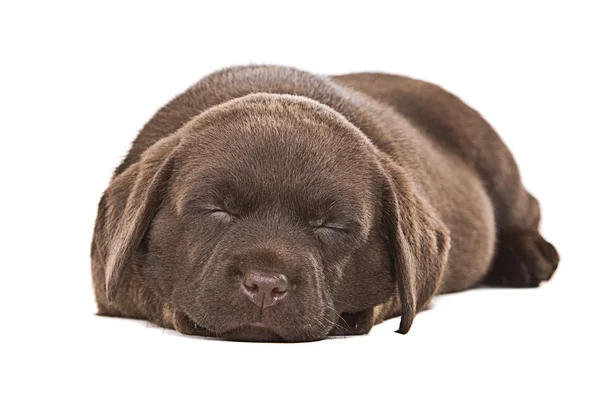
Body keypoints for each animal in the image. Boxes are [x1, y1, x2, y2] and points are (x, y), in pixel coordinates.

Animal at [91, 65, 560, 340]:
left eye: (330, 226)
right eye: (217, 210)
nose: (265, 285)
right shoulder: (106, 273)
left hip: (493, 157)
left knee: (526, 207)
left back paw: (528, 256)